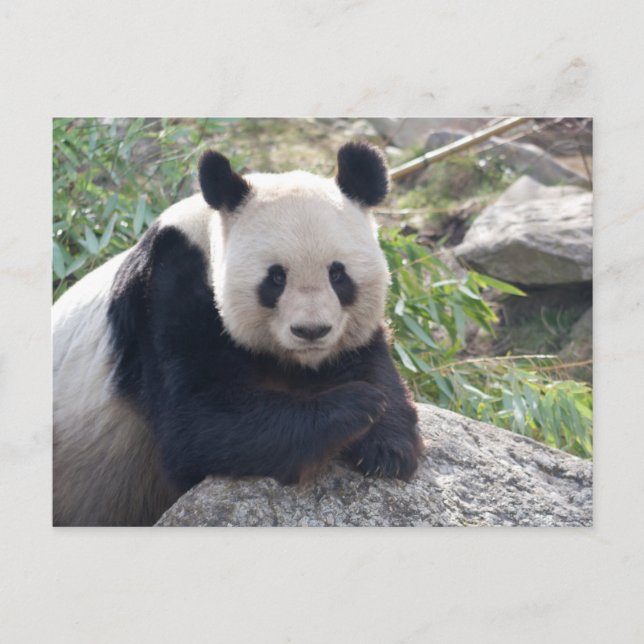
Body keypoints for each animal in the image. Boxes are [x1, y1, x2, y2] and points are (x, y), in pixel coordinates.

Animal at [53, 142, 423, 526]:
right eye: (276, 278)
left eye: (338, 275)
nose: (311, 331)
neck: (206, 231)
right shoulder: (164, 291)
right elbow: (197, 422)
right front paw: (358, 404)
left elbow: (366, 358)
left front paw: (387, 445)